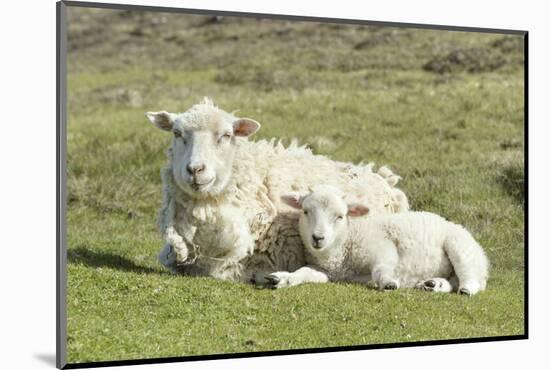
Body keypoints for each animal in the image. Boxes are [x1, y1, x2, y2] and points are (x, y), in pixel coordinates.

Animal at [270, 184, 490, 294]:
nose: (318, 238)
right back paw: (434, 285)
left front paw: (388, 282)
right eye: (305, 211)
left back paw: (465, 289)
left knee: (471, 277)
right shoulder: (328, 272)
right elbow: (304, 272)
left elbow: (380, 269)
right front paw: (284, 278)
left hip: (460, 247)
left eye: (340, 216)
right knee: (453, 280)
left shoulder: (383, 246)